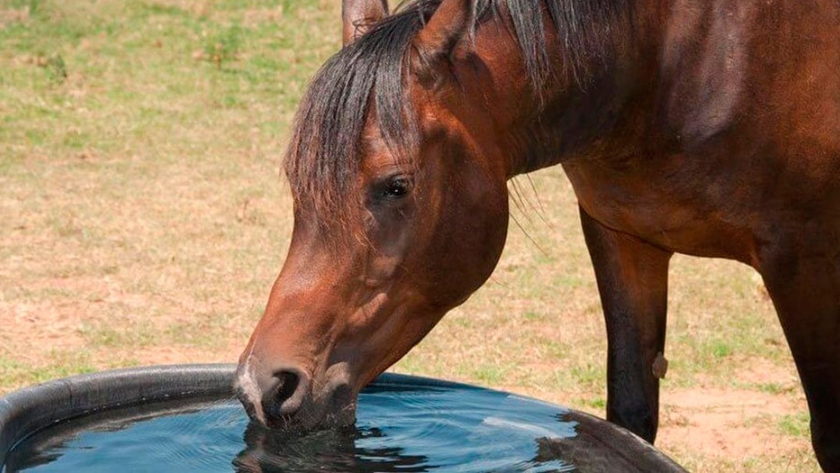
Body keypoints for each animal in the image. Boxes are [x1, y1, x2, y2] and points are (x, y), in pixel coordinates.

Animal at [233, 0, 840, 469]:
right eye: (298, 184)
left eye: (395, 186)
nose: (263, 388)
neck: (670, 57)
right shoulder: (620, 235)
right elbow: (630, 417)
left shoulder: (804, 261)